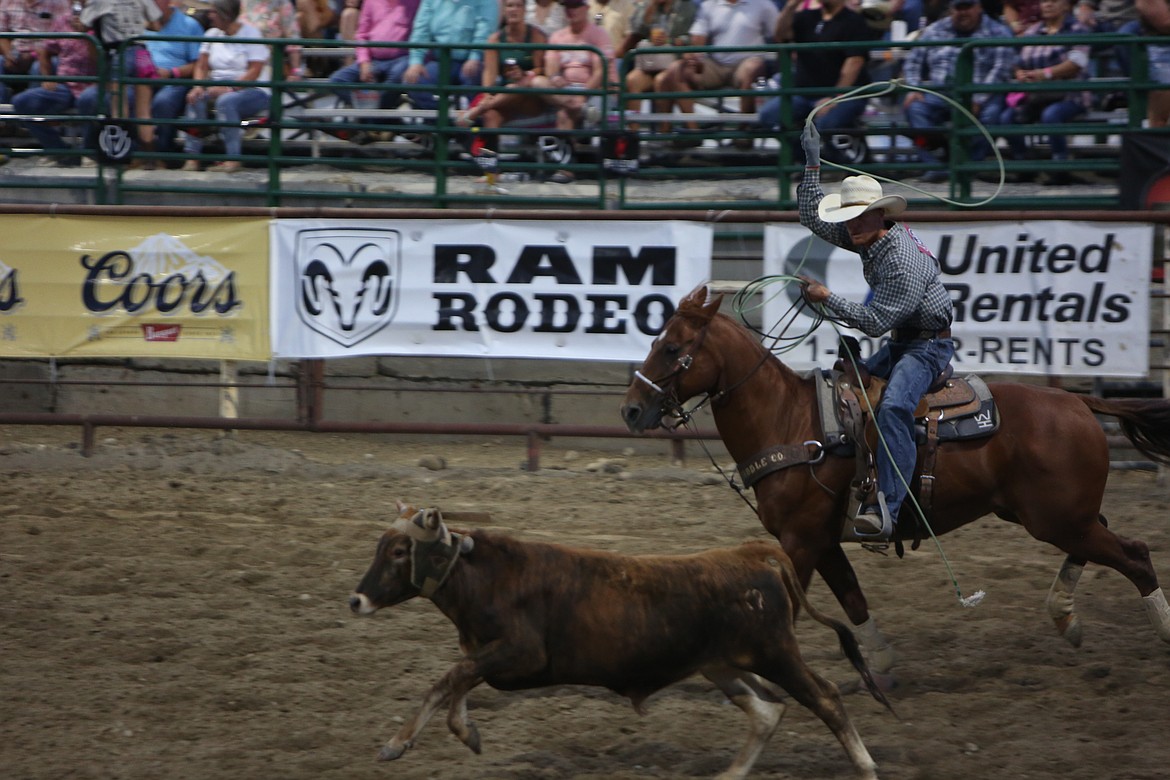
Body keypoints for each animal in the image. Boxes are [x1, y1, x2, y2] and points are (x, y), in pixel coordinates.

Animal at [617, 284, 1170, 673]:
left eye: (672, 349)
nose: (630, 410)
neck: (789, 419)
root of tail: (1078, 402)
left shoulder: (799, 540)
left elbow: (791, 610)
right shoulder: (822, 540)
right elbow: (853, 599)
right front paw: (880, 664)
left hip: (1055, 517)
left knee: (1135, 554)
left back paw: (1155, 630)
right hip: (1050, 514)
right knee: (1104, 538)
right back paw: (1066, 616)